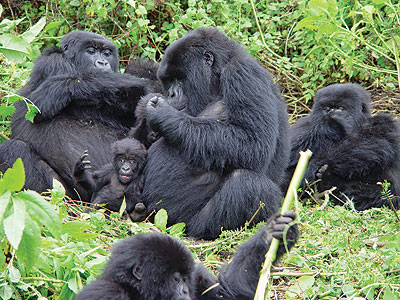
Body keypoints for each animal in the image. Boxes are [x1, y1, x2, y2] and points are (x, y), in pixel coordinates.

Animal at [0, 31, 153, 199]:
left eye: (107, 54)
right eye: (90, 51)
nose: (102, 63)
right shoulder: (53, 63)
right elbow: (44, 102)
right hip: (68, 195)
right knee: (15, 148)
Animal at [76, 211, 300, 300]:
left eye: (185, 279)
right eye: (176, 279)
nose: (185, 292)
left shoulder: (198, 277)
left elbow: (228, 293)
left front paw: (272, 234)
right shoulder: (106, 293)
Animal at [142, 27, 290, 239]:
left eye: (179, 79)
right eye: (168, 81)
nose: (171, 94)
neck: (218, 77)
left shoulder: (242, 73)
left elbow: (253, 143)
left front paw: (164, 114)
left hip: (185, 224)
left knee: (248, 184)